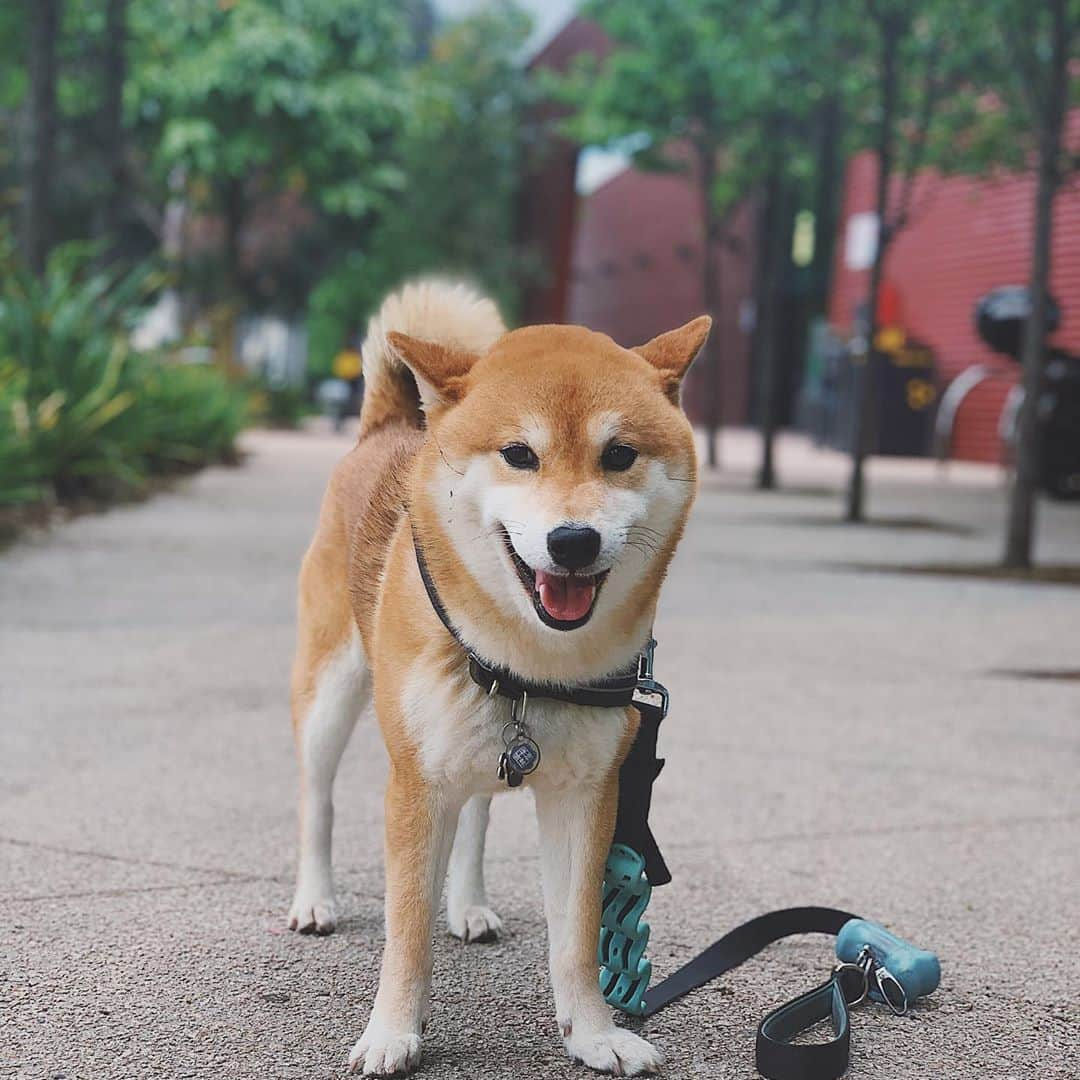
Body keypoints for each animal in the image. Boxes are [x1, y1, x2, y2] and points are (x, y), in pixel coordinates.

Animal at [287, 282, 708, 1075]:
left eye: (619, 455)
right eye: (519, 454)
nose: (572, 541)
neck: (531, 665)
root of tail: (392, 427)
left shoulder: (587, 795)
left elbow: (575, 941)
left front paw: (594, 1034)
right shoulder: (416, 787)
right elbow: (406, 933)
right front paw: (392, 1033)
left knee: (478, 812)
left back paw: (469, 904)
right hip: (329, 695)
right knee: (317, 801)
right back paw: (314, 900)